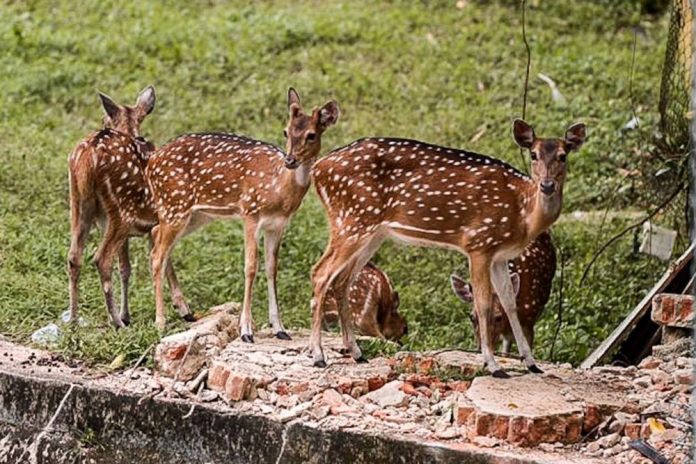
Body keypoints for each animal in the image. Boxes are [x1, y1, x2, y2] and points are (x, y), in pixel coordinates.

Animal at [67, 86, 192, 326]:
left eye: (104, 118)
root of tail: (88, 155)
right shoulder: (158, 221)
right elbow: (164, 260)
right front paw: (184, 309)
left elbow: (125, 268)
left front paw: (127, 315)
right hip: (120, 211)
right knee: (101, 259)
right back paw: (115, 322)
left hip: (79, 204)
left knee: (74, 257)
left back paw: (75, 321)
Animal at [148, 88, 338, 338]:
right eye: (285, 131)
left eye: (312, 135)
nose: (290, 160)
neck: (278, 190)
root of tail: (150, 162)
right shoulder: (250, 212)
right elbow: (250, 267)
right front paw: (246, 329)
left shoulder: (277, 225)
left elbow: (271, 269)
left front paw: (279, 328)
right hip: (174, 205)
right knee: (157, 254)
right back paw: (160, 321)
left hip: (195, 214)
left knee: (156, 234)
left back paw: (184, 310)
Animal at [308, 119, 584, 376]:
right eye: (533, 154)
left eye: (563, 156)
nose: (546, 185)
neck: (524, 214)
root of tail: (316, 168)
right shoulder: (479, 243)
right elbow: (483, 303)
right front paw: (493, 364)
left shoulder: (500, 255)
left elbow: (508, 302)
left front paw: (531, 363)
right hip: (352, 220)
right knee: (320, 272)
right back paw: (319, 355)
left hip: (371, 232)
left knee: (342, 280)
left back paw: (356, 352)